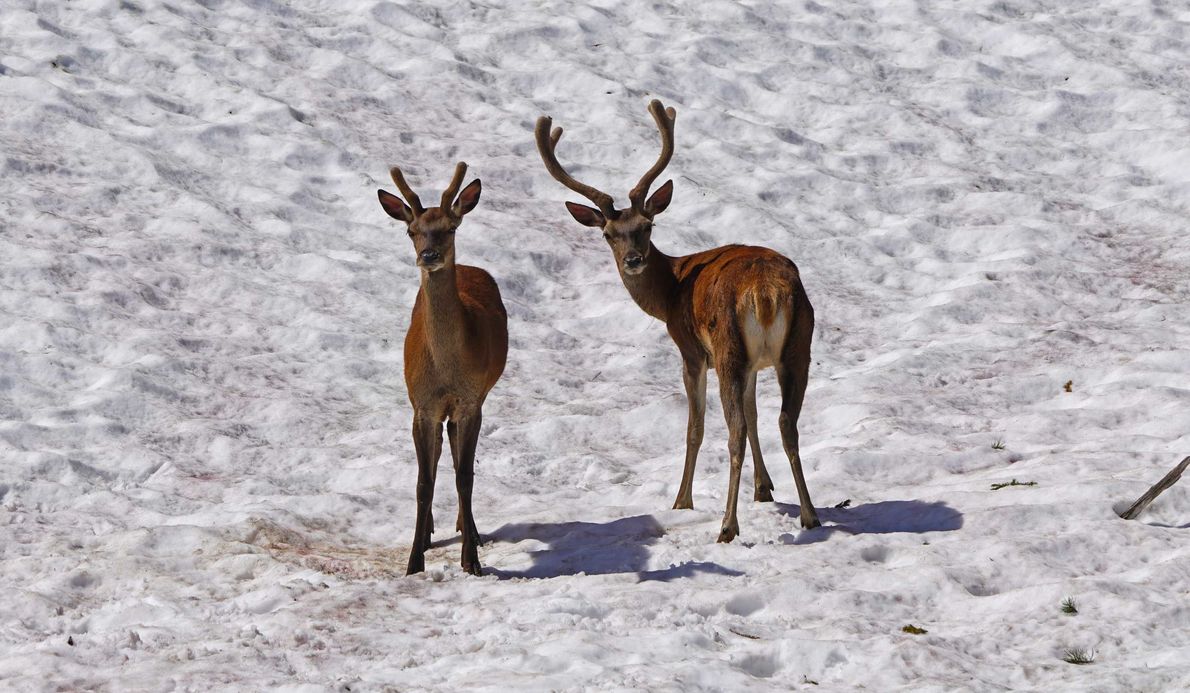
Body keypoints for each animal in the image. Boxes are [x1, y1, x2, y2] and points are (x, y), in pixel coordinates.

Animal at [376, 161, 506, 576]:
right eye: (411, 230)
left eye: (450, 228)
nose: (429, 255)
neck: (448, 370)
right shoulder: (422, 405)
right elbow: (423, 481)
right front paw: (413, 561)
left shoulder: (471, 400)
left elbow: (465, 476)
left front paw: (472, 561)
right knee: (436, 454)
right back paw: (431, 530)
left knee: (456, 455)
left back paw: (470, 530)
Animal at [537, 99, 818, 542]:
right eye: (609, 234)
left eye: (647, 225)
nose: (634, 260)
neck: (670, 292)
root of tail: (766, 292)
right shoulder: (755, 365)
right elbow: (755, 414)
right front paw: (764, 488)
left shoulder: (690, 350)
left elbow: (695, 428)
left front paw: (681, 500)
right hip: (798, 345)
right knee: (786, 422)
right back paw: (809, 514)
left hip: (728, 349)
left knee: (733, 431)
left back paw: (727, 525)